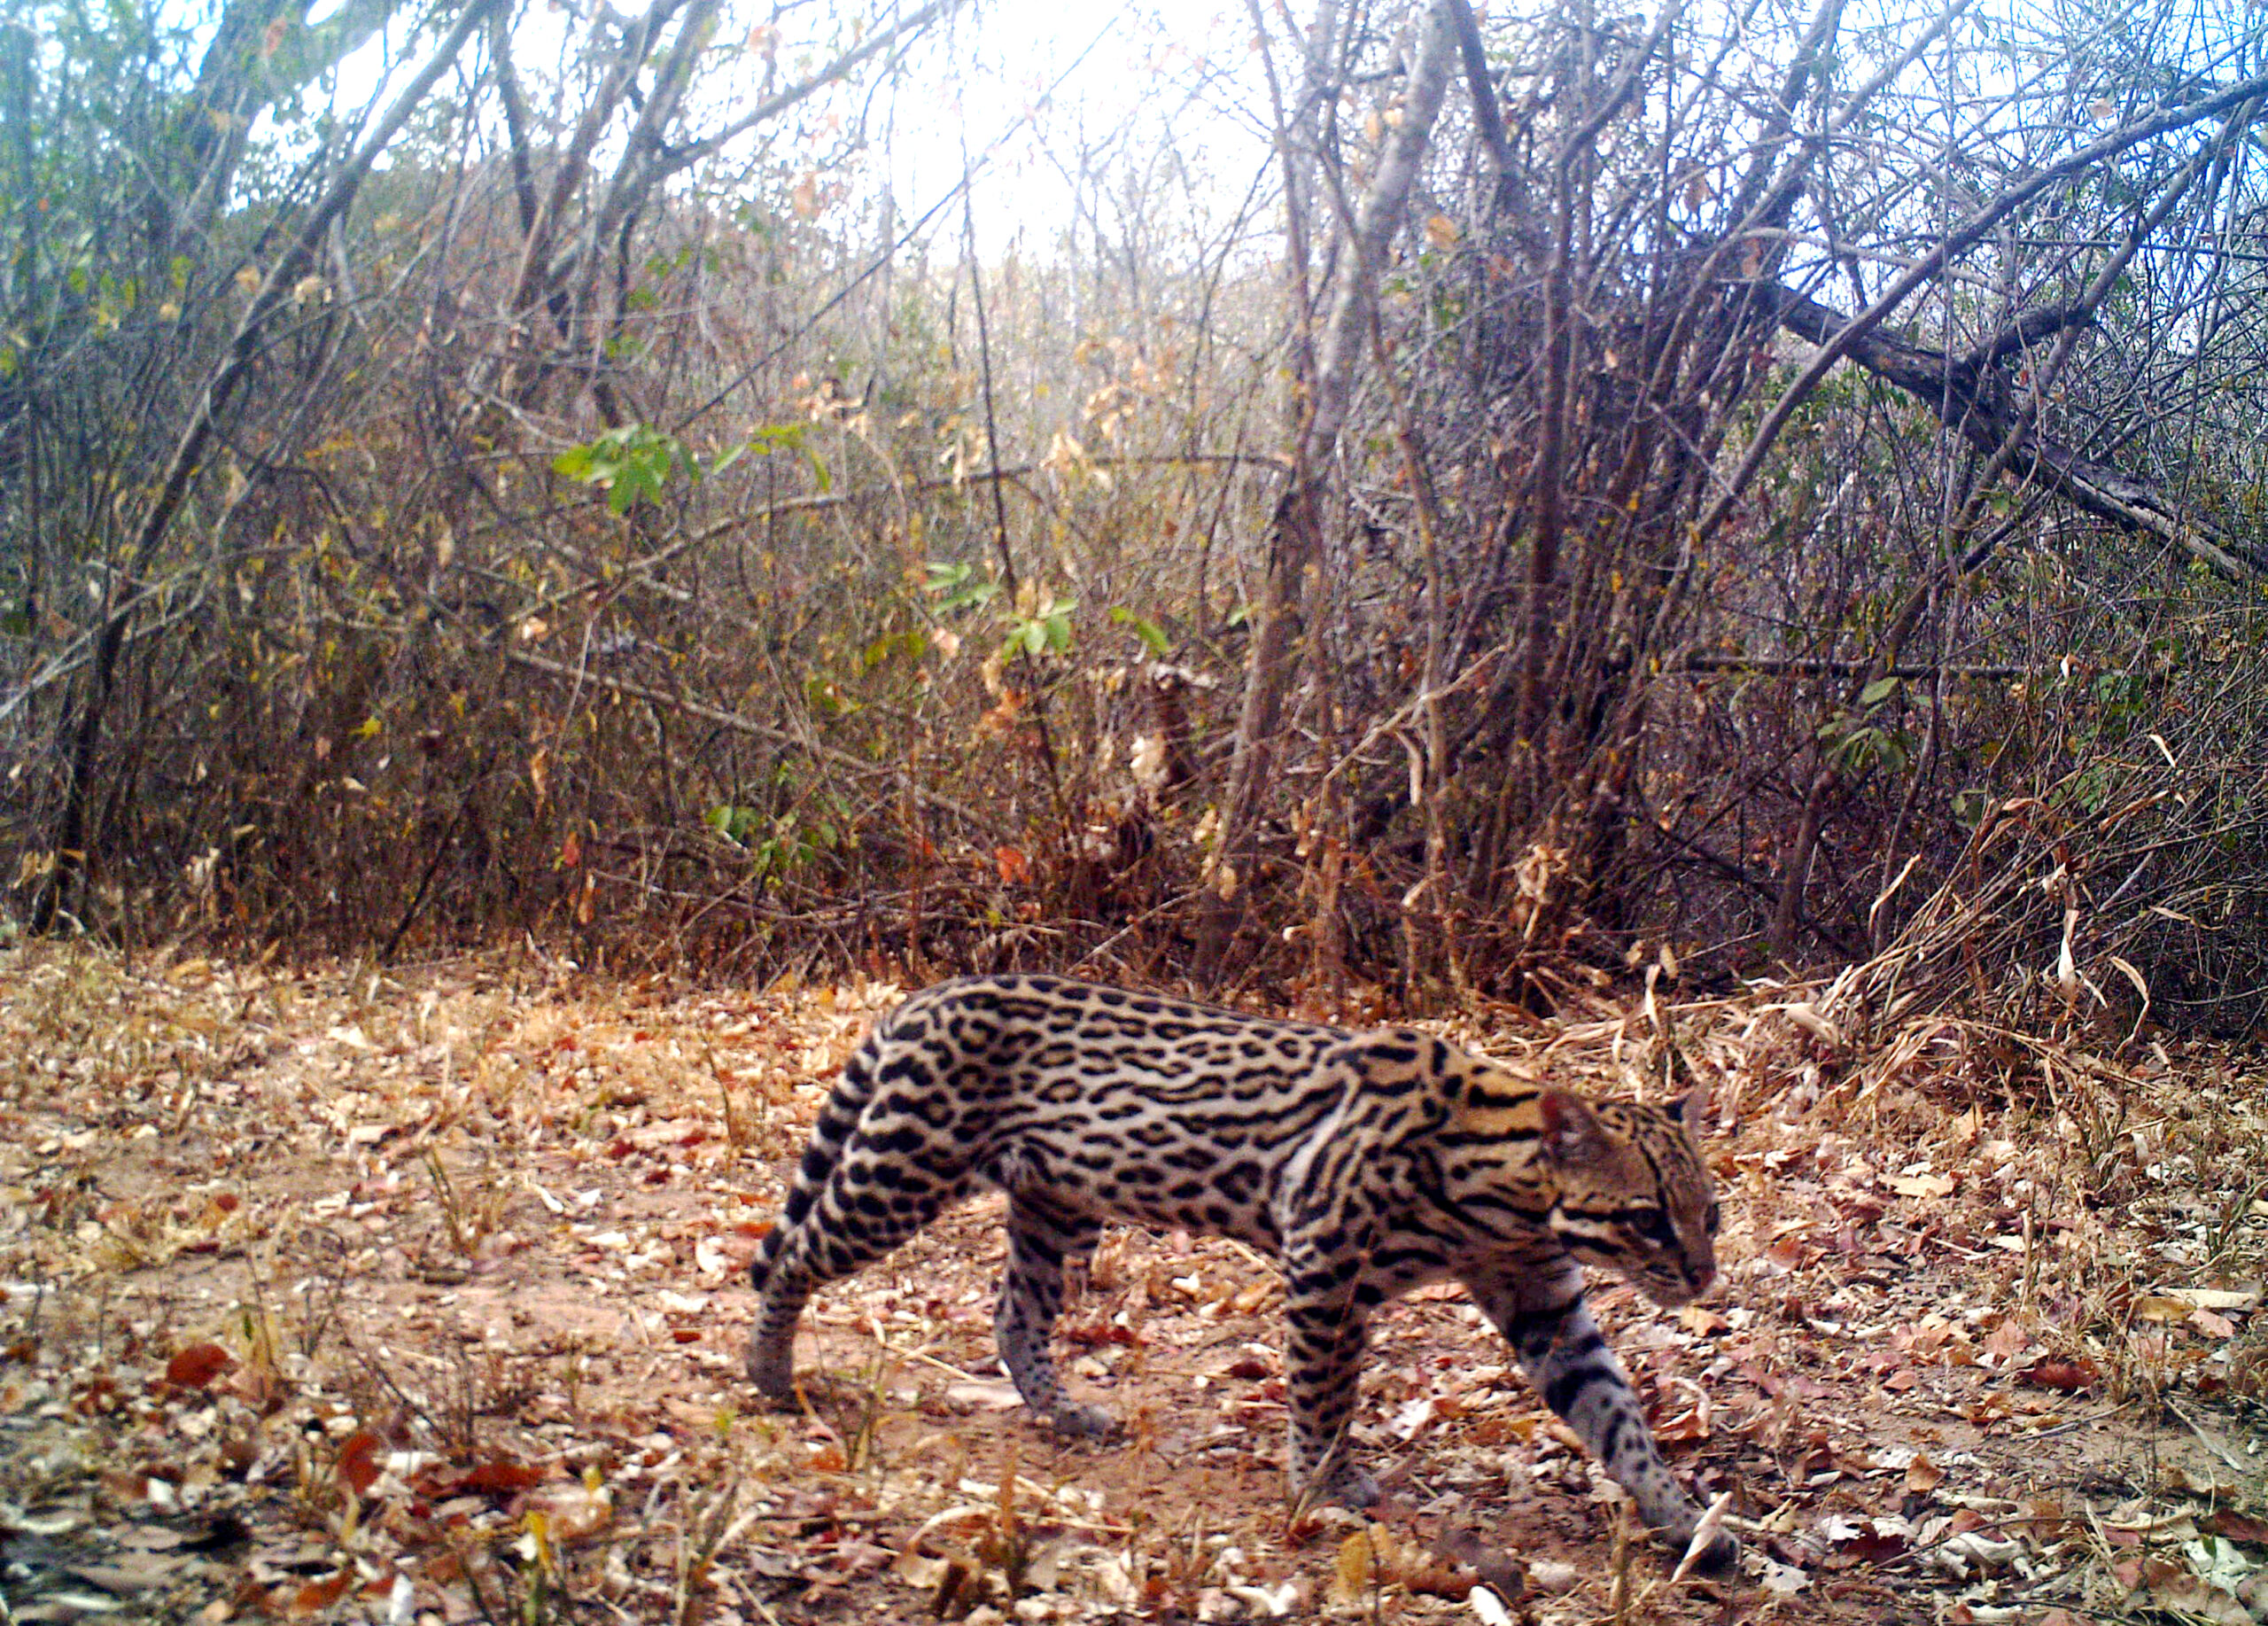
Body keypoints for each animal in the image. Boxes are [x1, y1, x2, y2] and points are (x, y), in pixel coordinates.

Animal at [748, 970, 1732, 1569]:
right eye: (1646, 1217)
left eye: (1710, 1212)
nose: (1702, 1276)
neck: (1507, 1192)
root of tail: (927, 995)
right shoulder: (1325, 1258)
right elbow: (1324, 1392)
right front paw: (1324, 1486)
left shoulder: (1544, 1303)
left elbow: (1616, 1415)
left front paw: (1684, 1520)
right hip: (902, 1169)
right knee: (791, 1254)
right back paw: (768, 1369)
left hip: (1054, 1204)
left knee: (1013, 1314)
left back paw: (1062, 1409)